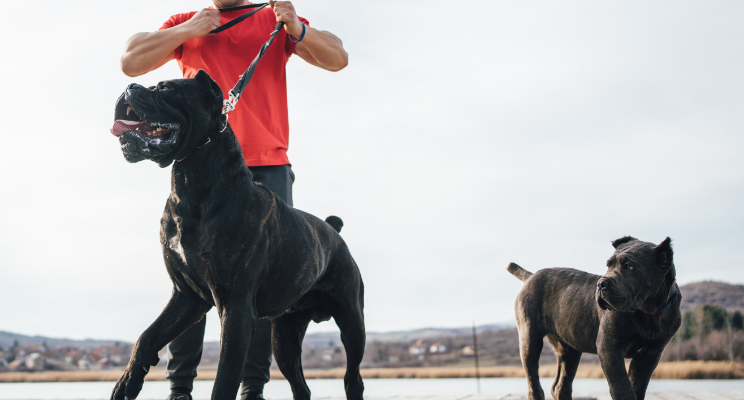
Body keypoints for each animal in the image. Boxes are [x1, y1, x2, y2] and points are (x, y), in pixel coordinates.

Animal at [111, 70, 366, 398]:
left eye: (165, 88)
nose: (129, 85)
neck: (191, 187)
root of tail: (333, 230)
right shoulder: (187, 297)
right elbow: (147, 337)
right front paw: (127, 383)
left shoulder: (235, 309)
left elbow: (225, 377)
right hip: (285, 338)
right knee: (301, 385)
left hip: (352, 321)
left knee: (352, 377)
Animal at [508, 238, 684, 400]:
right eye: (608, 266)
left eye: (629, 267)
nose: (601, 284)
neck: (649, 313)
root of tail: (531, 276)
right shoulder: (609, 347)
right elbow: (622, 387)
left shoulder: (649, 355)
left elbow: (637, 386)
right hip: (530, 339)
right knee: (533, 380)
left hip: (569, 350)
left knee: (560, 386)